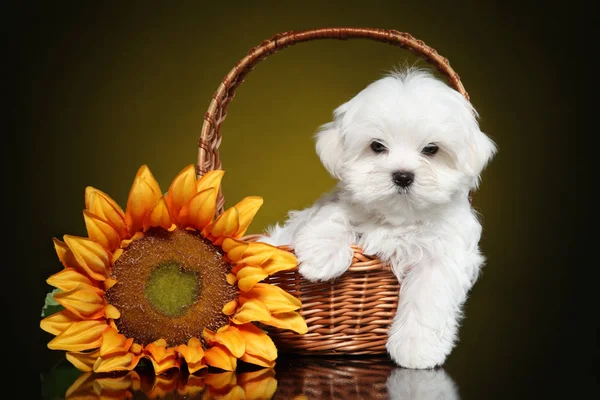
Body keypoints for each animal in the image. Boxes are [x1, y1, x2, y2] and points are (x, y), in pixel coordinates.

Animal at [258, 66, 496, 368]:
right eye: (377, 147)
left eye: (431, 150)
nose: (403, 176)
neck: (398, 217)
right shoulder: (341, 204)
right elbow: (333, 219)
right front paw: (322, 258)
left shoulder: (444, 253)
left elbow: (429, 295)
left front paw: (415, 348)